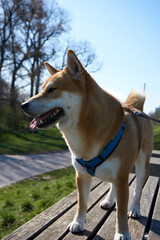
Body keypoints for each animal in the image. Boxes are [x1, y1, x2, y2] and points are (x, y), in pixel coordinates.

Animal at [21, 49, 152, 239]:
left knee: (137, 190)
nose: (23, 105)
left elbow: (121, 212)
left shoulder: (121, 178)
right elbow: (82, 203)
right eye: (41, 90)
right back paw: (108, 201)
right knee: (112, 186)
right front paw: (78, 222)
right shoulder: (82, 175)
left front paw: (122, 233)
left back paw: (134, 209)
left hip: (142, 164)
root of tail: (136, 109)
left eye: (52, 89)